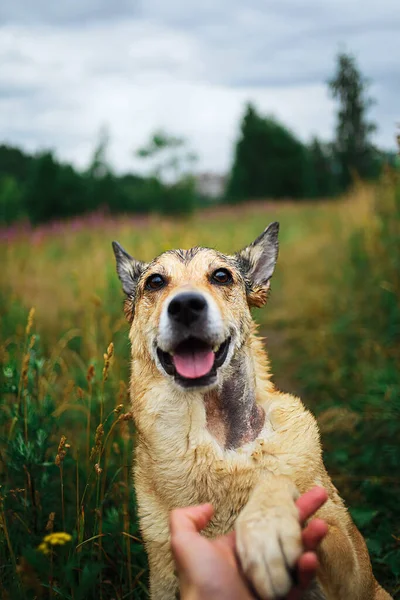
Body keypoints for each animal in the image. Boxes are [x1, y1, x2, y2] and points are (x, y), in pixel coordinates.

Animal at [111, 224, 390, 600]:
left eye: (221, 276)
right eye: (155, 282)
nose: (185, 306)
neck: (221, 437)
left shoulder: (353, 565)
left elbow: (278, 480)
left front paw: (266, 528)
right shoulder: (166, 574)